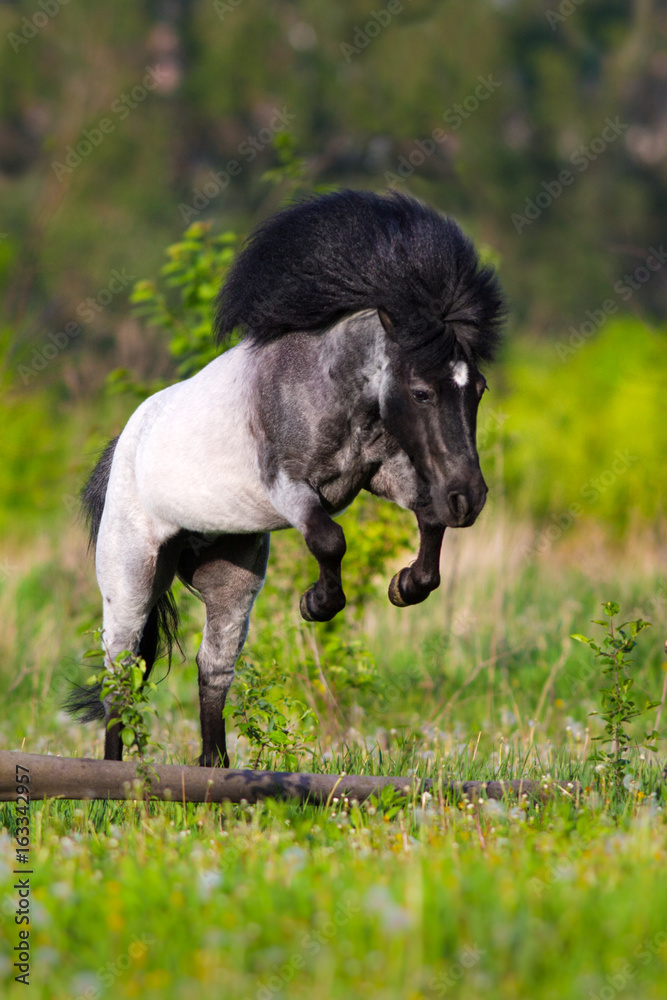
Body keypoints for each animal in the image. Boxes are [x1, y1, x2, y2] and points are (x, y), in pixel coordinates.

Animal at [68, 188, 506, 764]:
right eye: (421, 392)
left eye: (477, 388)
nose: (470, 499)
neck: (328, 387)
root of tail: (123, 444)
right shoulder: (291, 488)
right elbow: (330, 539)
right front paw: (317, 604)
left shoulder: (383, 474)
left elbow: (428, 521)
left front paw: (406, 585)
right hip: (130, 579)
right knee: (120, 676)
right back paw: (116, 774)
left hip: (230, 580)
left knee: (213, 668)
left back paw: (215, 767)